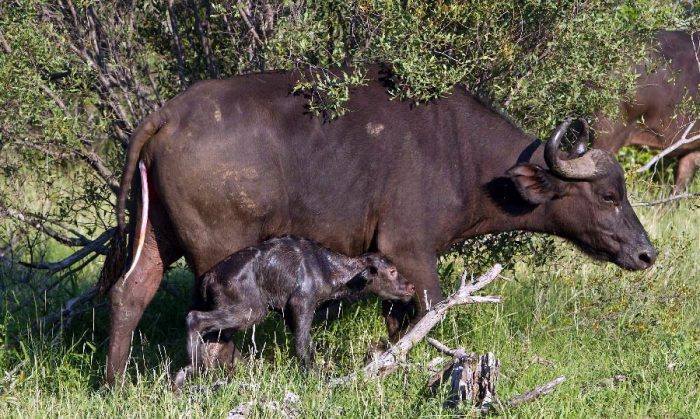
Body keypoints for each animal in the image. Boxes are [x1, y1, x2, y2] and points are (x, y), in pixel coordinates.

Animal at [186, 236, 416, 374]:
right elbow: (302, 345)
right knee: (194, 318)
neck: (328, 271)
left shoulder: (287, 312)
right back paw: (195, 367)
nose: (411, 287)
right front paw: (315, 376)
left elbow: (306, 343)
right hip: (250, 311)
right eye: (392, 271)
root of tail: (208, 279)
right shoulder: (302, 303)